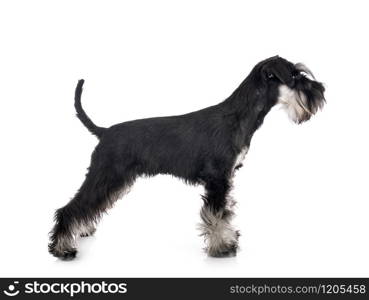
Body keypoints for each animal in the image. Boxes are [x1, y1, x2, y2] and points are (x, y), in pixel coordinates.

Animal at [49, 56, 324, 260]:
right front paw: (221, 247)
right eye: (296, 76)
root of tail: (104, 131)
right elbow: (216, 214)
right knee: (71, 207)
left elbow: (225, 212)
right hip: (106, 175)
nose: (320, 90)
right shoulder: (217, 179)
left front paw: (228, 241)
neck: (240, 115)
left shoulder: (226, 179)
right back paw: (62, 248)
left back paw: (81, 230)